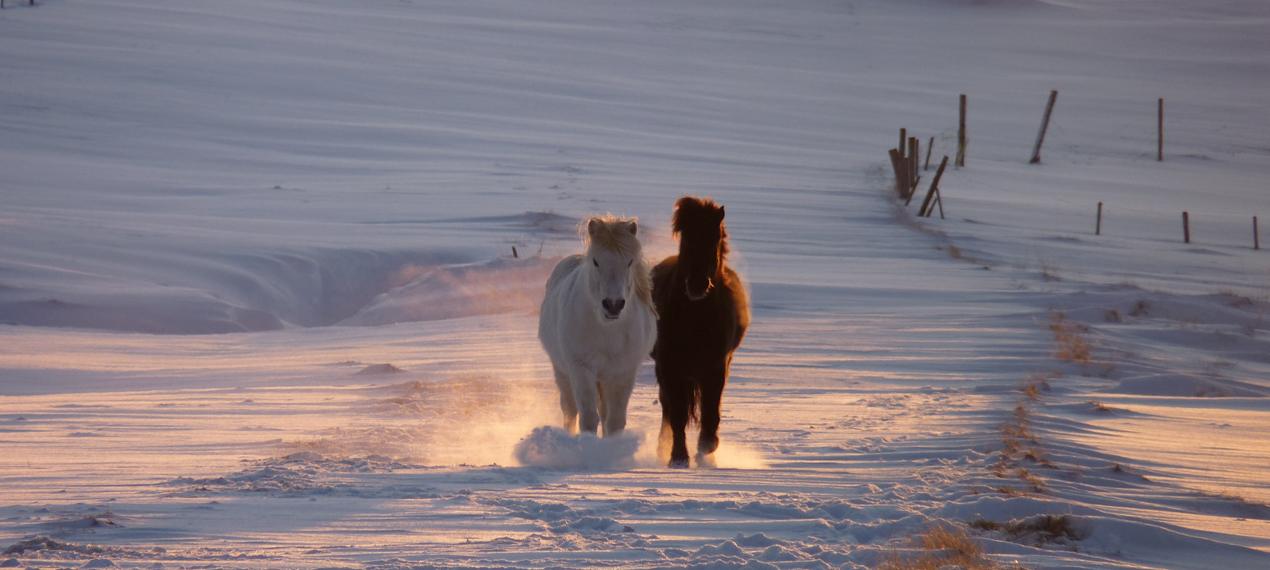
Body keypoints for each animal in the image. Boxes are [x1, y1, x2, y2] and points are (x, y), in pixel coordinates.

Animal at [535, 214, 655, 436]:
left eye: (629, 262)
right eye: (596, 261)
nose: (613, 304)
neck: (606, 332)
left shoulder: (623, 373)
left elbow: (614, 421)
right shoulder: (581, 369)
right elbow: (589, 417)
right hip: (563, 372)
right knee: (570, 411)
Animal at [655, 195, 741, 467]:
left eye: (714, 237)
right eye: (686, 236)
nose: (697, 284)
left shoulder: (715, 367)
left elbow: (710, 412)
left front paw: (707, 449)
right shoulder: (671, 368)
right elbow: (678, 415)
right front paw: (678, 457)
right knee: (668, 410)